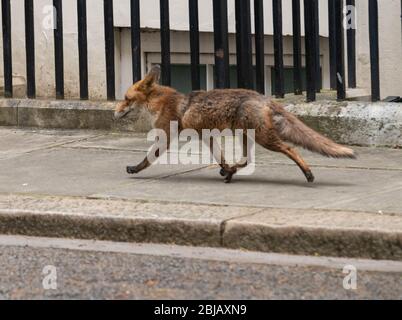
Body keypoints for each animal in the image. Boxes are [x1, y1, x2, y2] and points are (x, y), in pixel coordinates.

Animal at [115, 65, 354, 184]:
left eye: (126, 99)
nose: (115, 112)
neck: (161, 102)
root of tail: (263, 97)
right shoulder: (206, 135)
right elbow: (220, 157)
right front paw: (225, 168)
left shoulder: (166, 135)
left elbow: (148, 158)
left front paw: (135, 169)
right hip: (247, 136)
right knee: (246, 160)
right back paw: (230, 173)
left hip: (263, 138)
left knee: (290, 148)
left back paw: (308, 173)